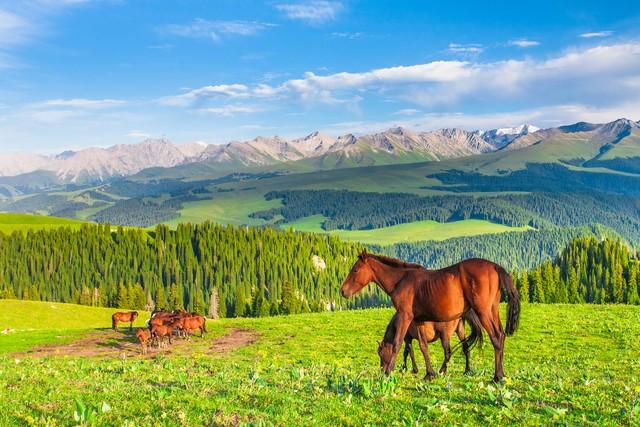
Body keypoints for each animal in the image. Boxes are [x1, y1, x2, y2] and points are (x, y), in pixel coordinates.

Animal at [340, 252, 520, 382]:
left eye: (355, 270)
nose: (343, 291)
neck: (401, 280)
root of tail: (495, 266)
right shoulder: (418, 321)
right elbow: (423, 347)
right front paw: (429, 374)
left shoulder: (405, 317)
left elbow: (398, 344)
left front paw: (387, 374)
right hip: (492, 311)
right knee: (501, 335)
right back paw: (499, 374)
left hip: (483, 312)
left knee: (496, 337)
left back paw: (497, 376)